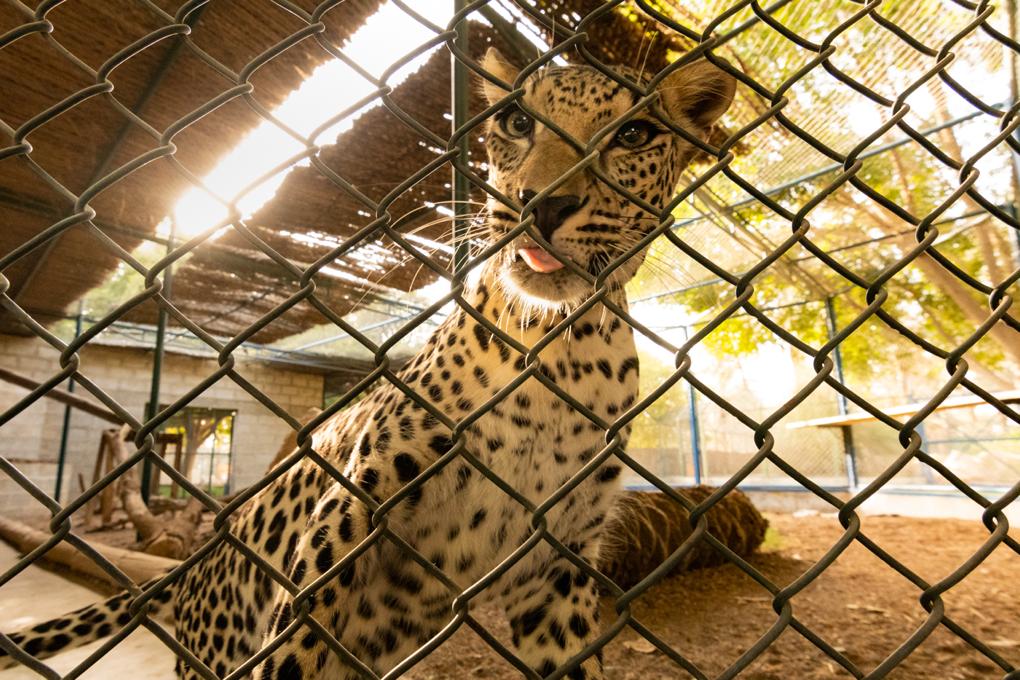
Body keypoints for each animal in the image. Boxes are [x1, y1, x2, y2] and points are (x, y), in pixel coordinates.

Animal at [1, 49, 734, 680]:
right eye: (518, 123)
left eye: (635, 134)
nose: (544, 202)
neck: (558, 355)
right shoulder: (355, 505)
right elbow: (295, 641)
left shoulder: (558, 563)